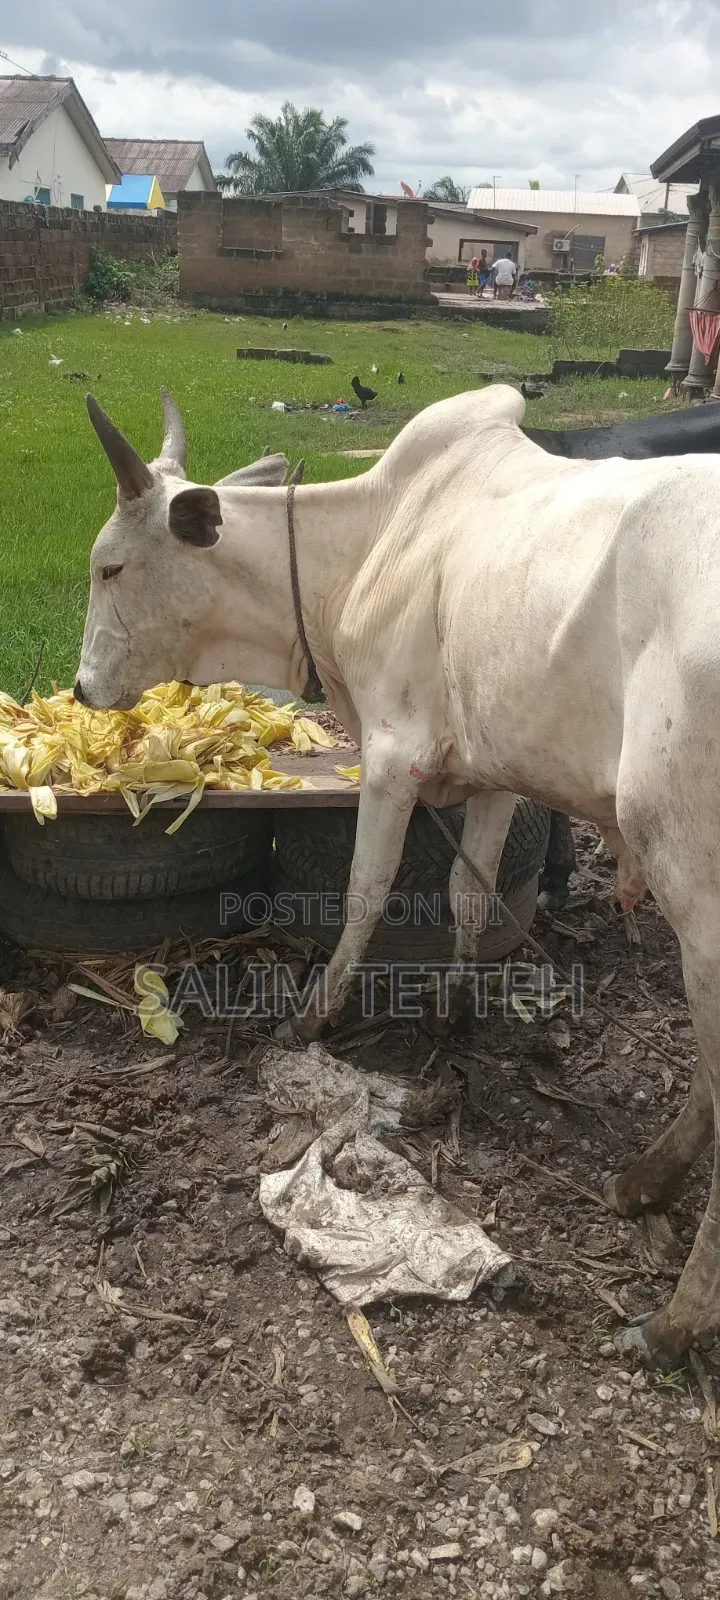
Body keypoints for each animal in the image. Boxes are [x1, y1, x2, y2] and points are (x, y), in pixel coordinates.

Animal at [75, 382, 720, 1370]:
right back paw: (643, 1182)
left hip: (698, 889)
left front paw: (312, 1016)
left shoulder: (390, 757)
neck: (368, 544)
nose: (79, 691)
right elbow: (468, 892)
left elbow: (366, 891)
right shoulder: (495, 770)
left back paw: (675, 1321)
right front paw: (452, 1013)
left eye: (111, 567)